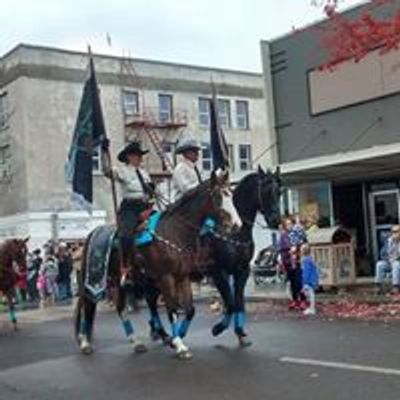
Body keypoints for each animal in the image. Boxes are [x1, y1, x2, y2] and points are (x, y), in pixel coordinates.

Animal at [74, 170, 241, 358]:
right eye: (219, 197)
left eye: (231, 194)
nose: (237, 225)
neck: (175, 232)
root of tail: (92, 234)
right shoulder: (166, 278)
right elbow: (172, 310)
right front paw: (179, 344)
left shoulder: (182, 277)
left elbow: (190, 310)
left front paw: (177, 338)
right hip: (95, 280)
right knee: (87, 305)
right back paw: (85, 342)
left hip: (120, 281)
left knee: (121, 308)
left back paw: (136, 342)